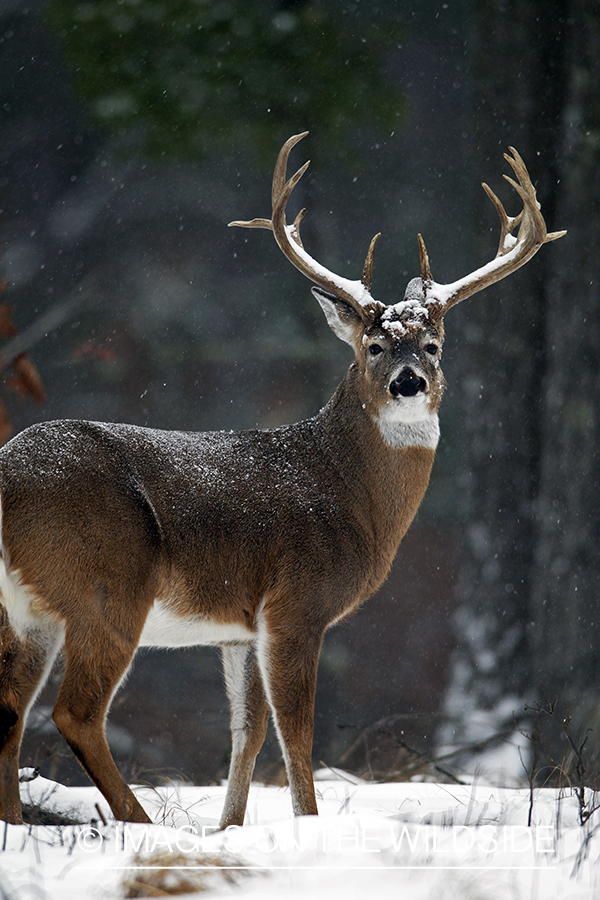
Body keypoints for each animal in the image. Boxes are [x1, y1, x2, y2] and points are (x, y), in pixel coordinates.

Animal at [0, 130, 564, 828]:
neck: (347, 495)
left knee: (9, 709)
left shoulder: (240, 626)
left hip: (28, 607)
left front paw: (231, 828)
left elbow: (248, 730)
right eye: (373, 347)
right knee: (75, 713)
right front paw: (306, 824)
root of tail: (9, 472)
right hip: (107, 585)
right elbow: (297, 729)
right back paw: (138, 823)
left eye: (433, 345)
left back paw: (19, 821)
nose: (409, 381)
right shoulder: (297, 602)